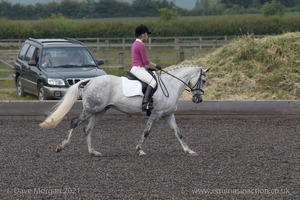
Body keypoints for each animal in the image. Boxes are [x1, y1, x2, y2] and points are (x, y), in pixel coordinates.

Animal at [39, 63, 209, 156]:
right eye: (204, 80)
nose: (198, 100)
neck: (171, 85)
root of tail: (90, 81)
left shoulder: (168, 114)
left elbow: (178, 133)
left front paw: (189, 151)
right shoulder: (156, 114)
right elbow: (146, 132)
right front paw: (139, 150)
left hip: (99, 111)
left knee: (87, 129)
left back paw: (93, 152)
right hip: (90, 109)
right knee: (74, 123)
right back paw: (62, 146)